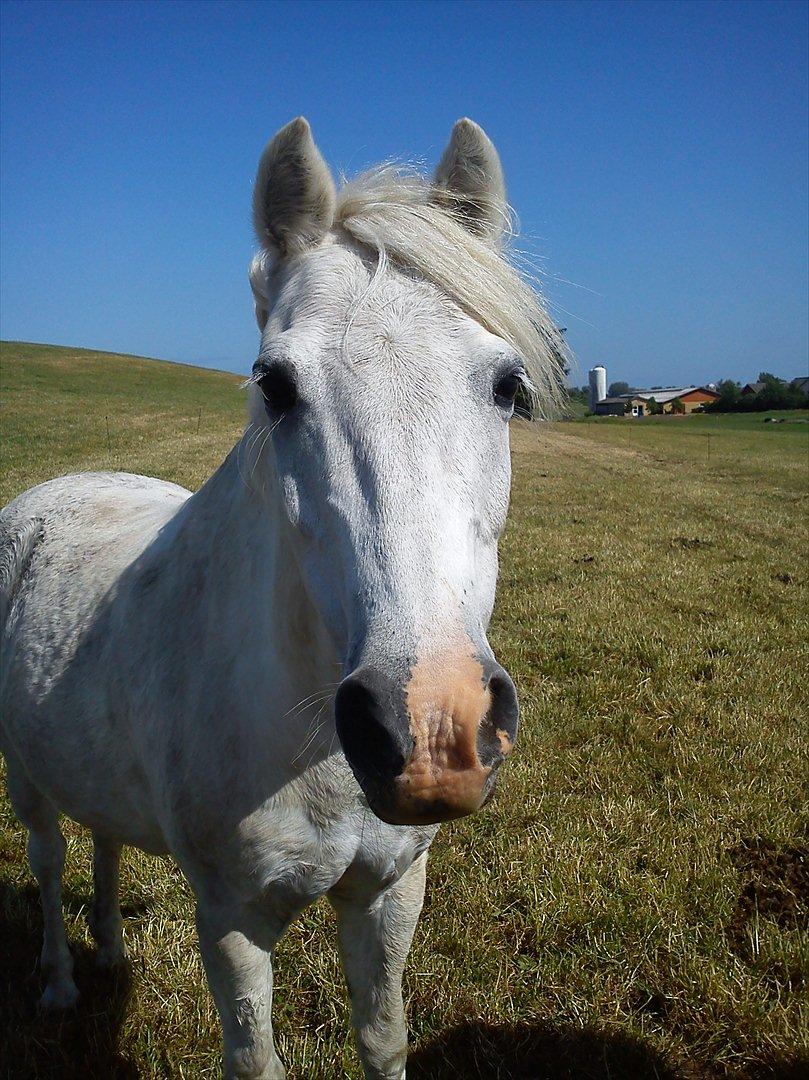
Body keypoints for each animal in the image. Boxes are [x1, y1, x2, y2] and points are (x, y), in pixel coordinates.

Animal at [0, 117, 564, 1079]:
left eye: (507, 386)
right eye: (273, 384)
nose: (431, 731)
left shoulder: (387, 893)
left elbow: (382, 1037)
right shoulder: (233, 921)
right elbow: (254, 1059)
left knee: (103, 842)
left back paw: (108, 951)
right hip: (23, 774)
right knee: (46, 859)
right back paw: (61, 985)